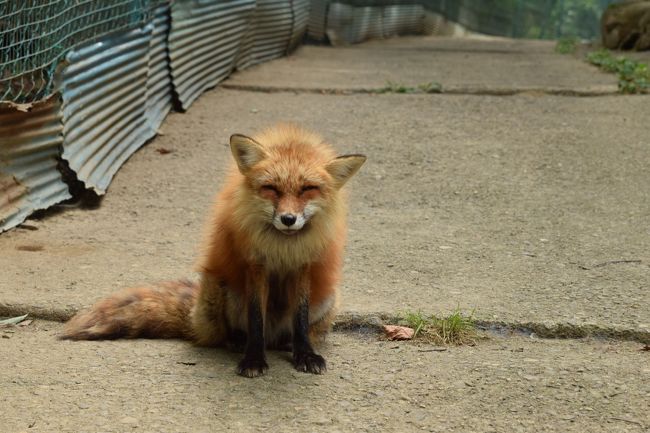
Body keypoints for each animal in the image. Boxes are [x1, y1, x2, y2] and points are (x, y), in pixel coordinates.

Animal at [60, 123, 364, 376]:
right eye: (271, 188)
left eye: (307, 189)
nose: (288, 219)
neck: (282, 247)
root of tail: (194, 319)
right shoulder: (255, 266)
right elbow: (256, 320)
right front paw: (253, 359)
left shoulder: (304, 267)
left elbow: (300, 320)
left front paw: (305, 355)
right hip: (222, 289)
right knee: (230, 334)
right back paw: (237, 342)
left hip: (328, 299)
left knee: (293, 332)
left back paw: (288, 344)